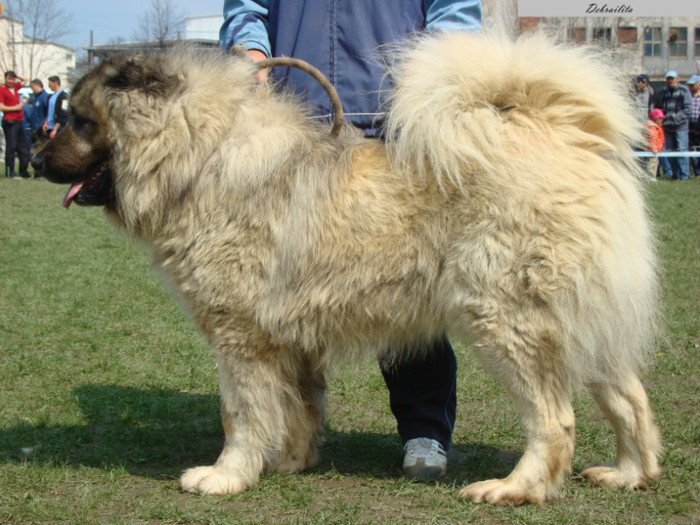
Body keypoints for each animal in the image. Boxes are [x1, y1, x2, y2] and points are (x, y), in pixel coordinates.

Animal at [32, 33, 660, 504]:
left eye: (80, 121)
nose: (35, 158)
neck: (202, 155)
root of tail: (560, 132)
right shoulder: (286, 338)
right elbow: (297, 406)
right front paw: (289, 460)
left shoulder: (238, 336)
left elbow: (241, 412)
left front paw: (225, 476)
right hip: (581, 322)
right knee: (629, 399)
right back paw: (629, 474)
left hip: (507, 322)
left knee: (554, 420)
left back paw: (514, 488)